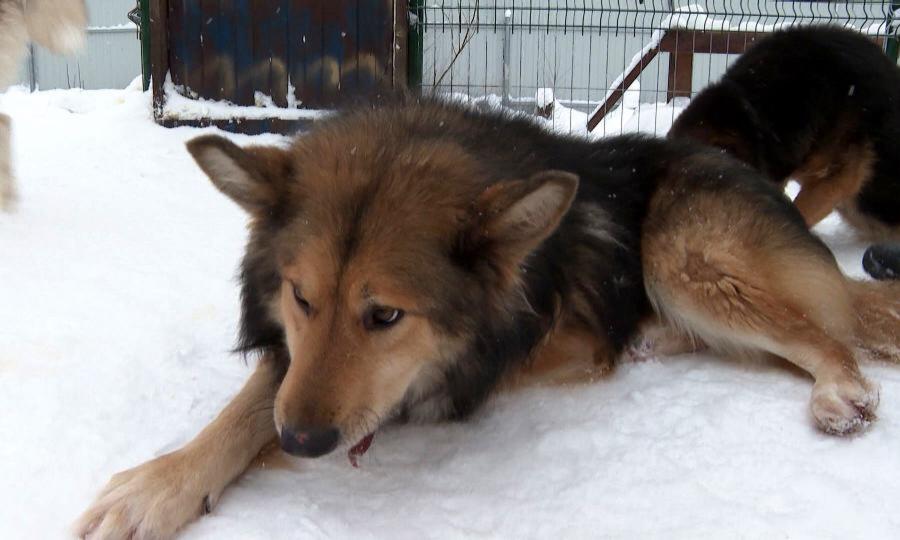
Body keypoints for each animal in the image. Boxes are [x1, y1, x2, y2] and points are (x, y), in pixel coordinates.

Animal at [79, 99, 900, 536]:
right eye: (301, 299)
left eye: (386, 315)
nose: (303, 443)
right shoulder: (295, 370)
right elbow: (258, 398)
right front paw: (166, 481)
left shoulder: (534, 348)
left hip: (681, 254)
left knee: (829, 333)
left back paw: (840, 394)